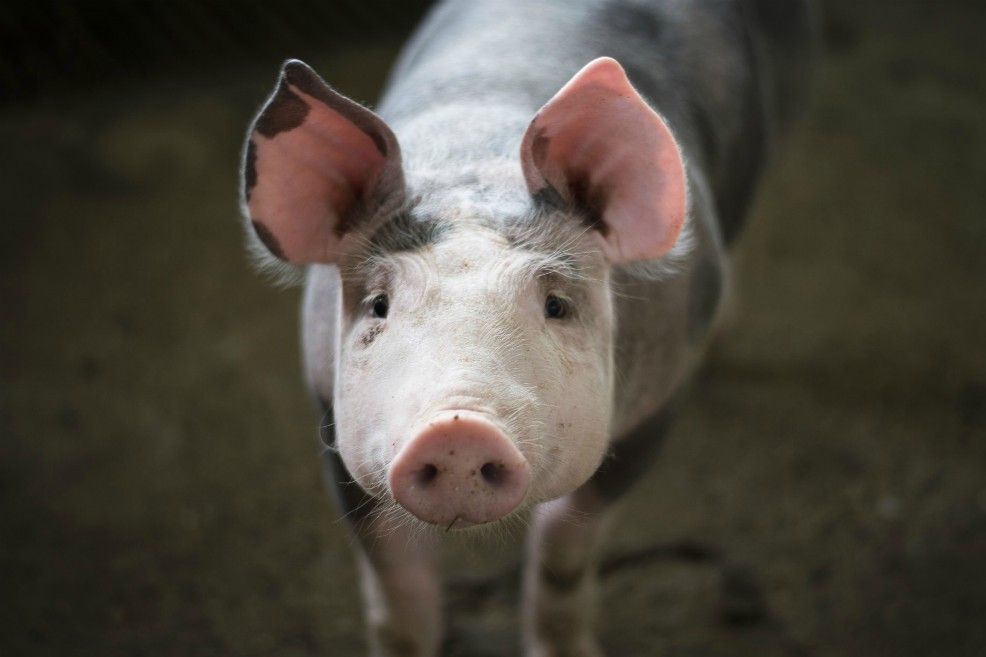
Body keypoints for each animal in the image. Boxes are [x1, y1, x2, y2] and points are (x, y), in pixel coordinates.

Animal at [240, 0, 813, 654]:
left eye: (556, 305)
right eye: (380, 305)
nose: (457, 429)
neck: (475, 163)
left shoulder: (657, 404)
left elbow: (564, 552)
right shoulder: (330, 411)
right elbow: (395, 584)